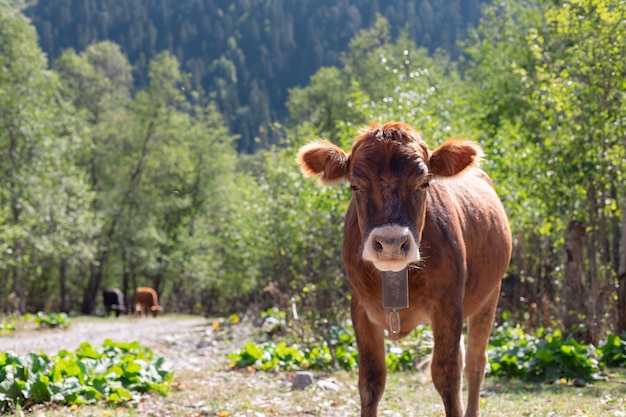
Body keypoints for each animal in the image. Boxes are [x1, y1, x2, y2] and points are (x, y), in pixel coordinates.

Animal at [294, 121, 510, 416]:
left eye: (424, 182)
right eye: (355, 185)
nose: (391, 243)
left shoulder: (448, 305)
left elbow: (447, 376)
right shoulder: (360, 308)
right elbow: (371, 381)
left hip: (490, 295)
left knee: (475, 363)